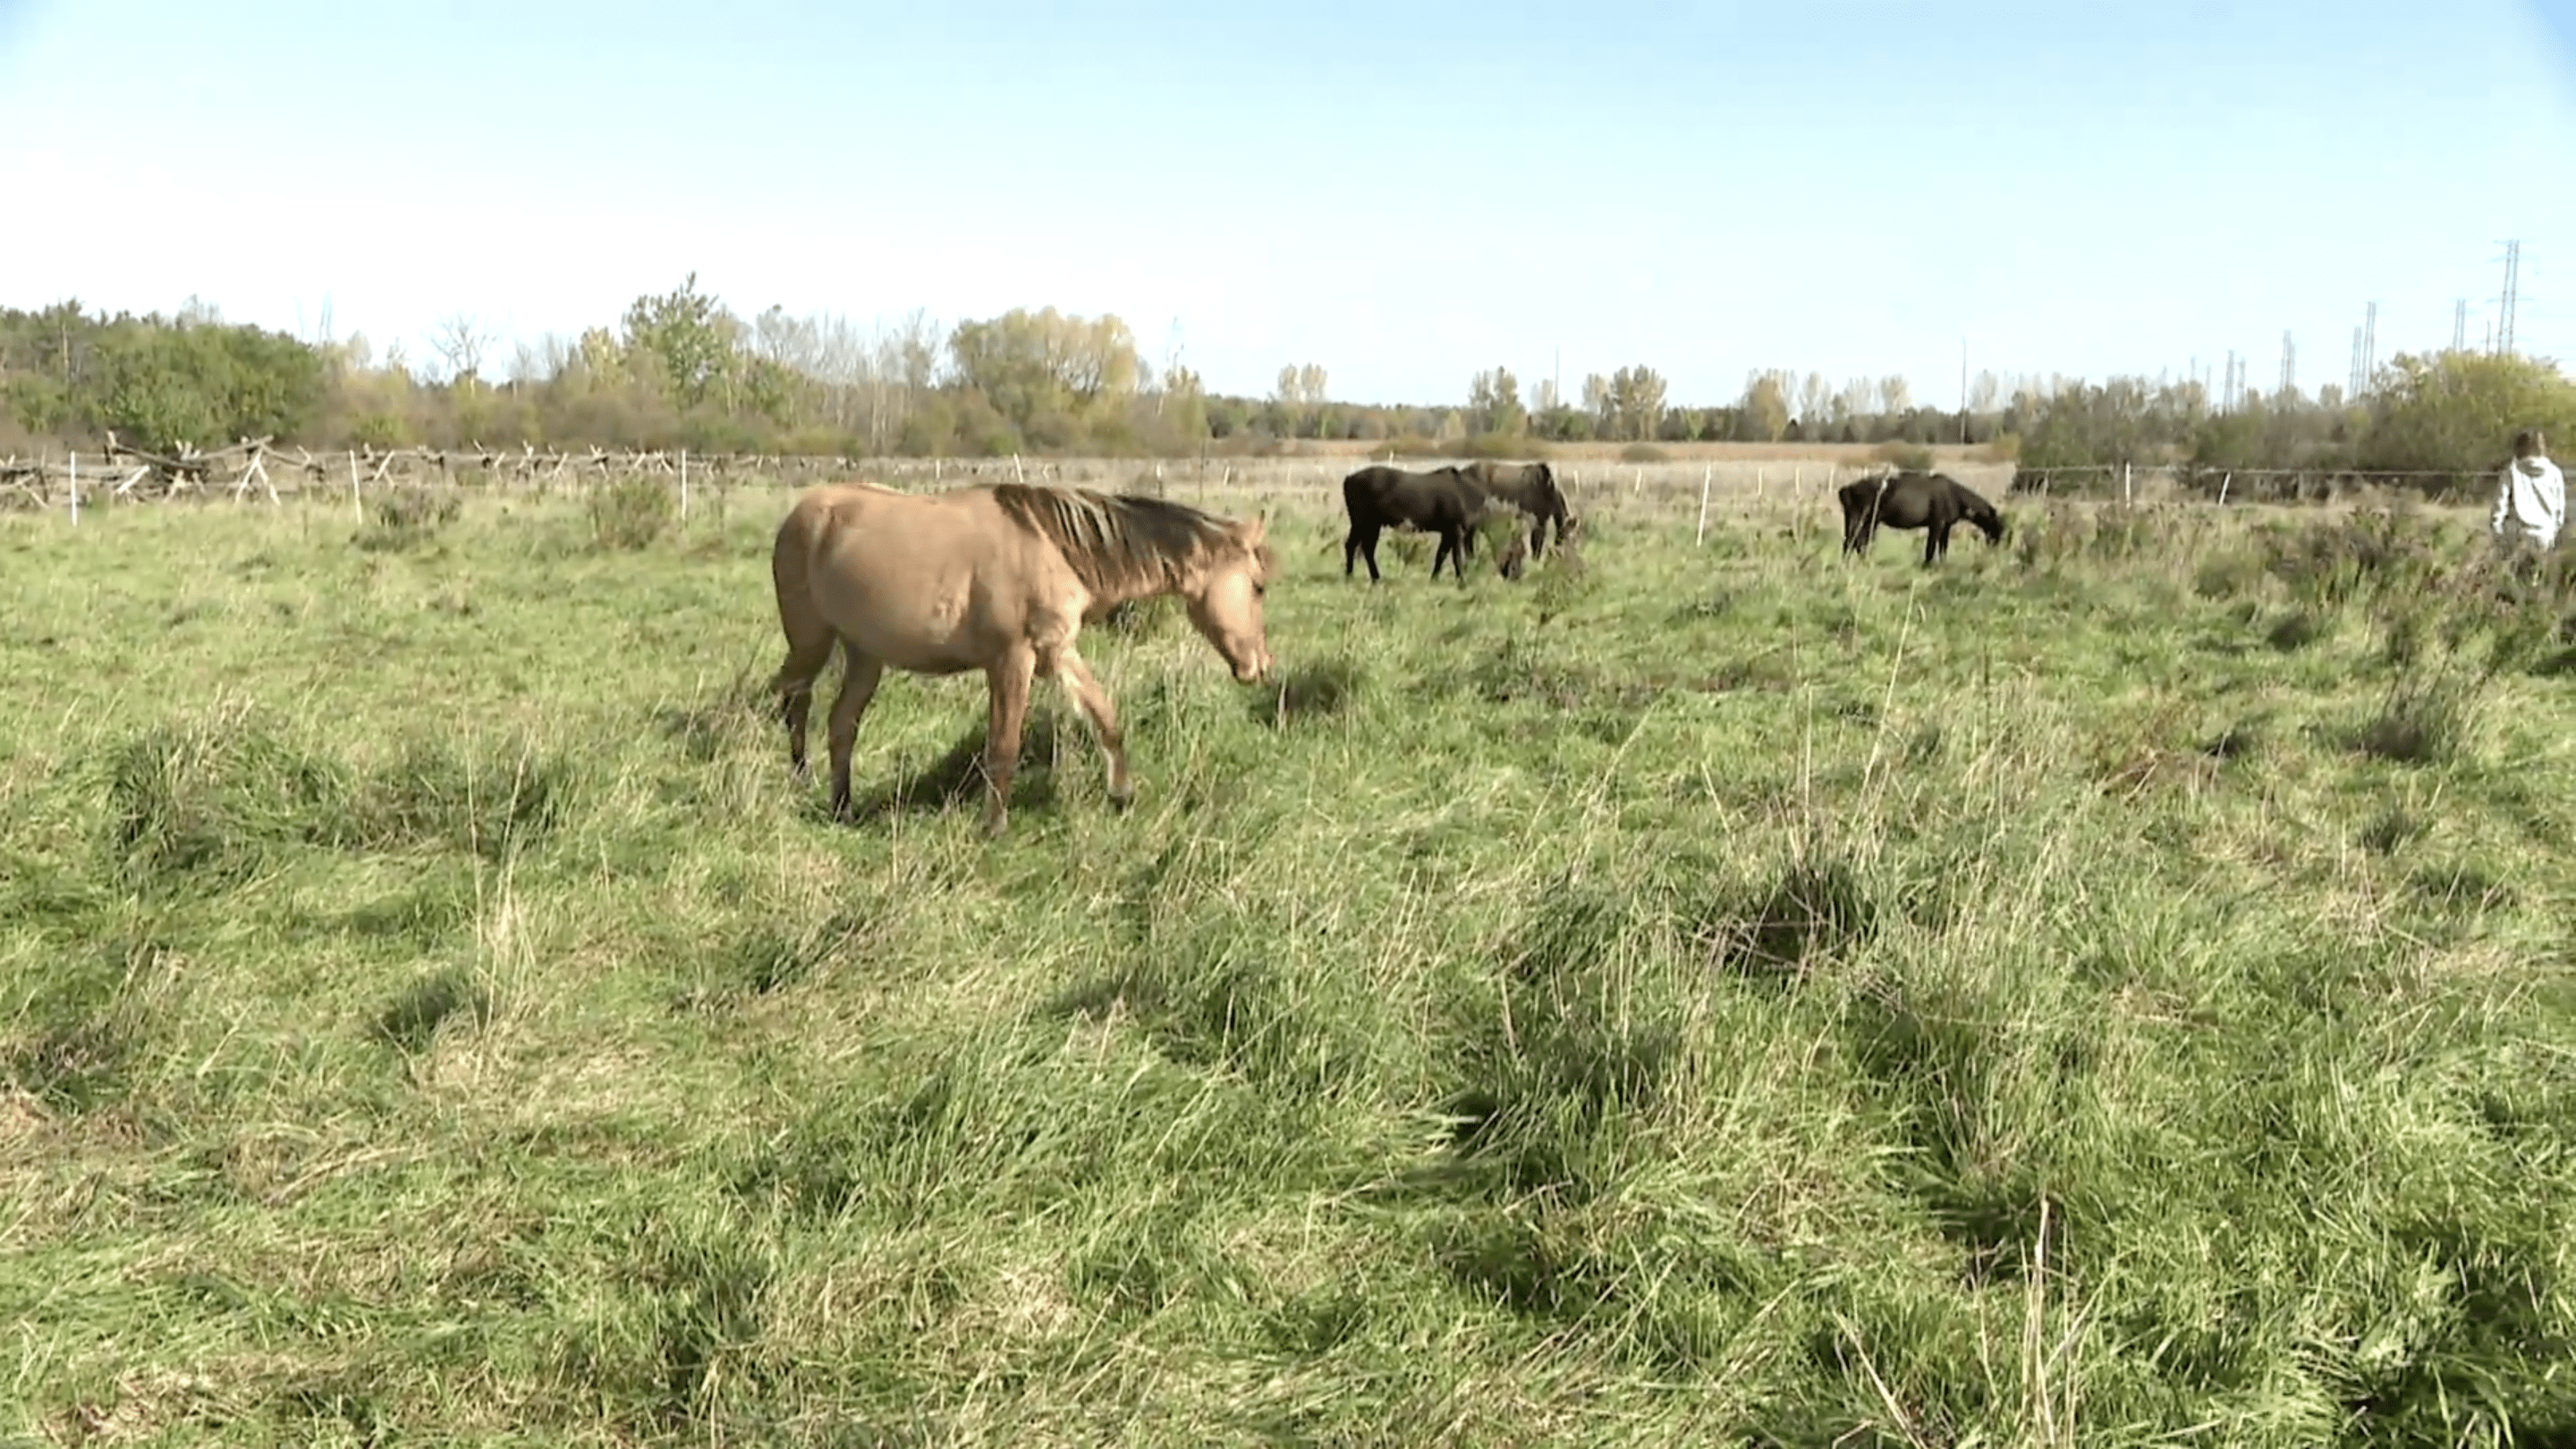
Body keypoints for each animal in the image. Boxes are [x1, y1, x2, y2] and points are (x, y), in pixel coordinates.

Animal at [767, 479, 1283, 830]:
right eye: (1258, 587)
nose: (1259, 666)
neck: (1052, 547)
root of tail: (801, 513)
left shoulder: (1057, 651)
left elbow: (1104, 717)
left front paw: (1122, 793)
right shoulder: (1011, 660)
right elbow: (1004, 745)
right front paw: (993, 826)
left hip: (864, 655)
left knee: (841, 724)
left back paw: (843, 806)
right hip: (811, 642)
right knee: (795, 701)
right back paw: (802, 782)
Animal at [1339, 459, 1504, 577]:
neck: (1468, 494)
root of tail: (1349, 478)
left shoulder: (1447, 533)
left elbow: (1440, 556)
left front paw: (1434, 579)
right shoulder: (1456, 531)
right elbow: (1457, 559)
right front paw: (1462, 582)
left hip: (1372, 524)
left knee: (1364, 548)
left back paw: (1370, 577)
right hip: (1362, 522)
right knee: (1354, 546)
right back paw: (1354, 576)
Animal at [1834, 474, 2009, 564]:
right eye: (1997, 525)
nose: (1997, 545)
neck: (1956, 496)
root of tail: (1847, 489)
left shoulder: (1946, 527)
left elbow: (1943, 548)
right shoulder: (1936, 524)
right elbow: (1930, 548)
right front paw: (1927, 566)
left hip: (1866, 522)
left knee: (1855, 543)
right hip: (1861, 520)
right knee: (1853, 542)